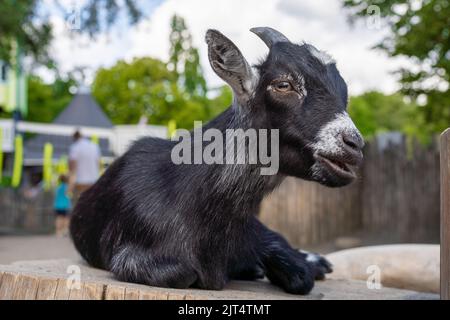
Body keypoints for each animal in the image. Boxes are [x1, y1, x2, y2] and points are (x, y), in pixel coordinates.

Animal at [71, 27, 366, 296]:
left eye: (344, 91)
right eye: (283, 85)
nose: (354, 144)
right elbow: (182, 272)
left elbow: (299, 276)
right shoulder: (129, 255)